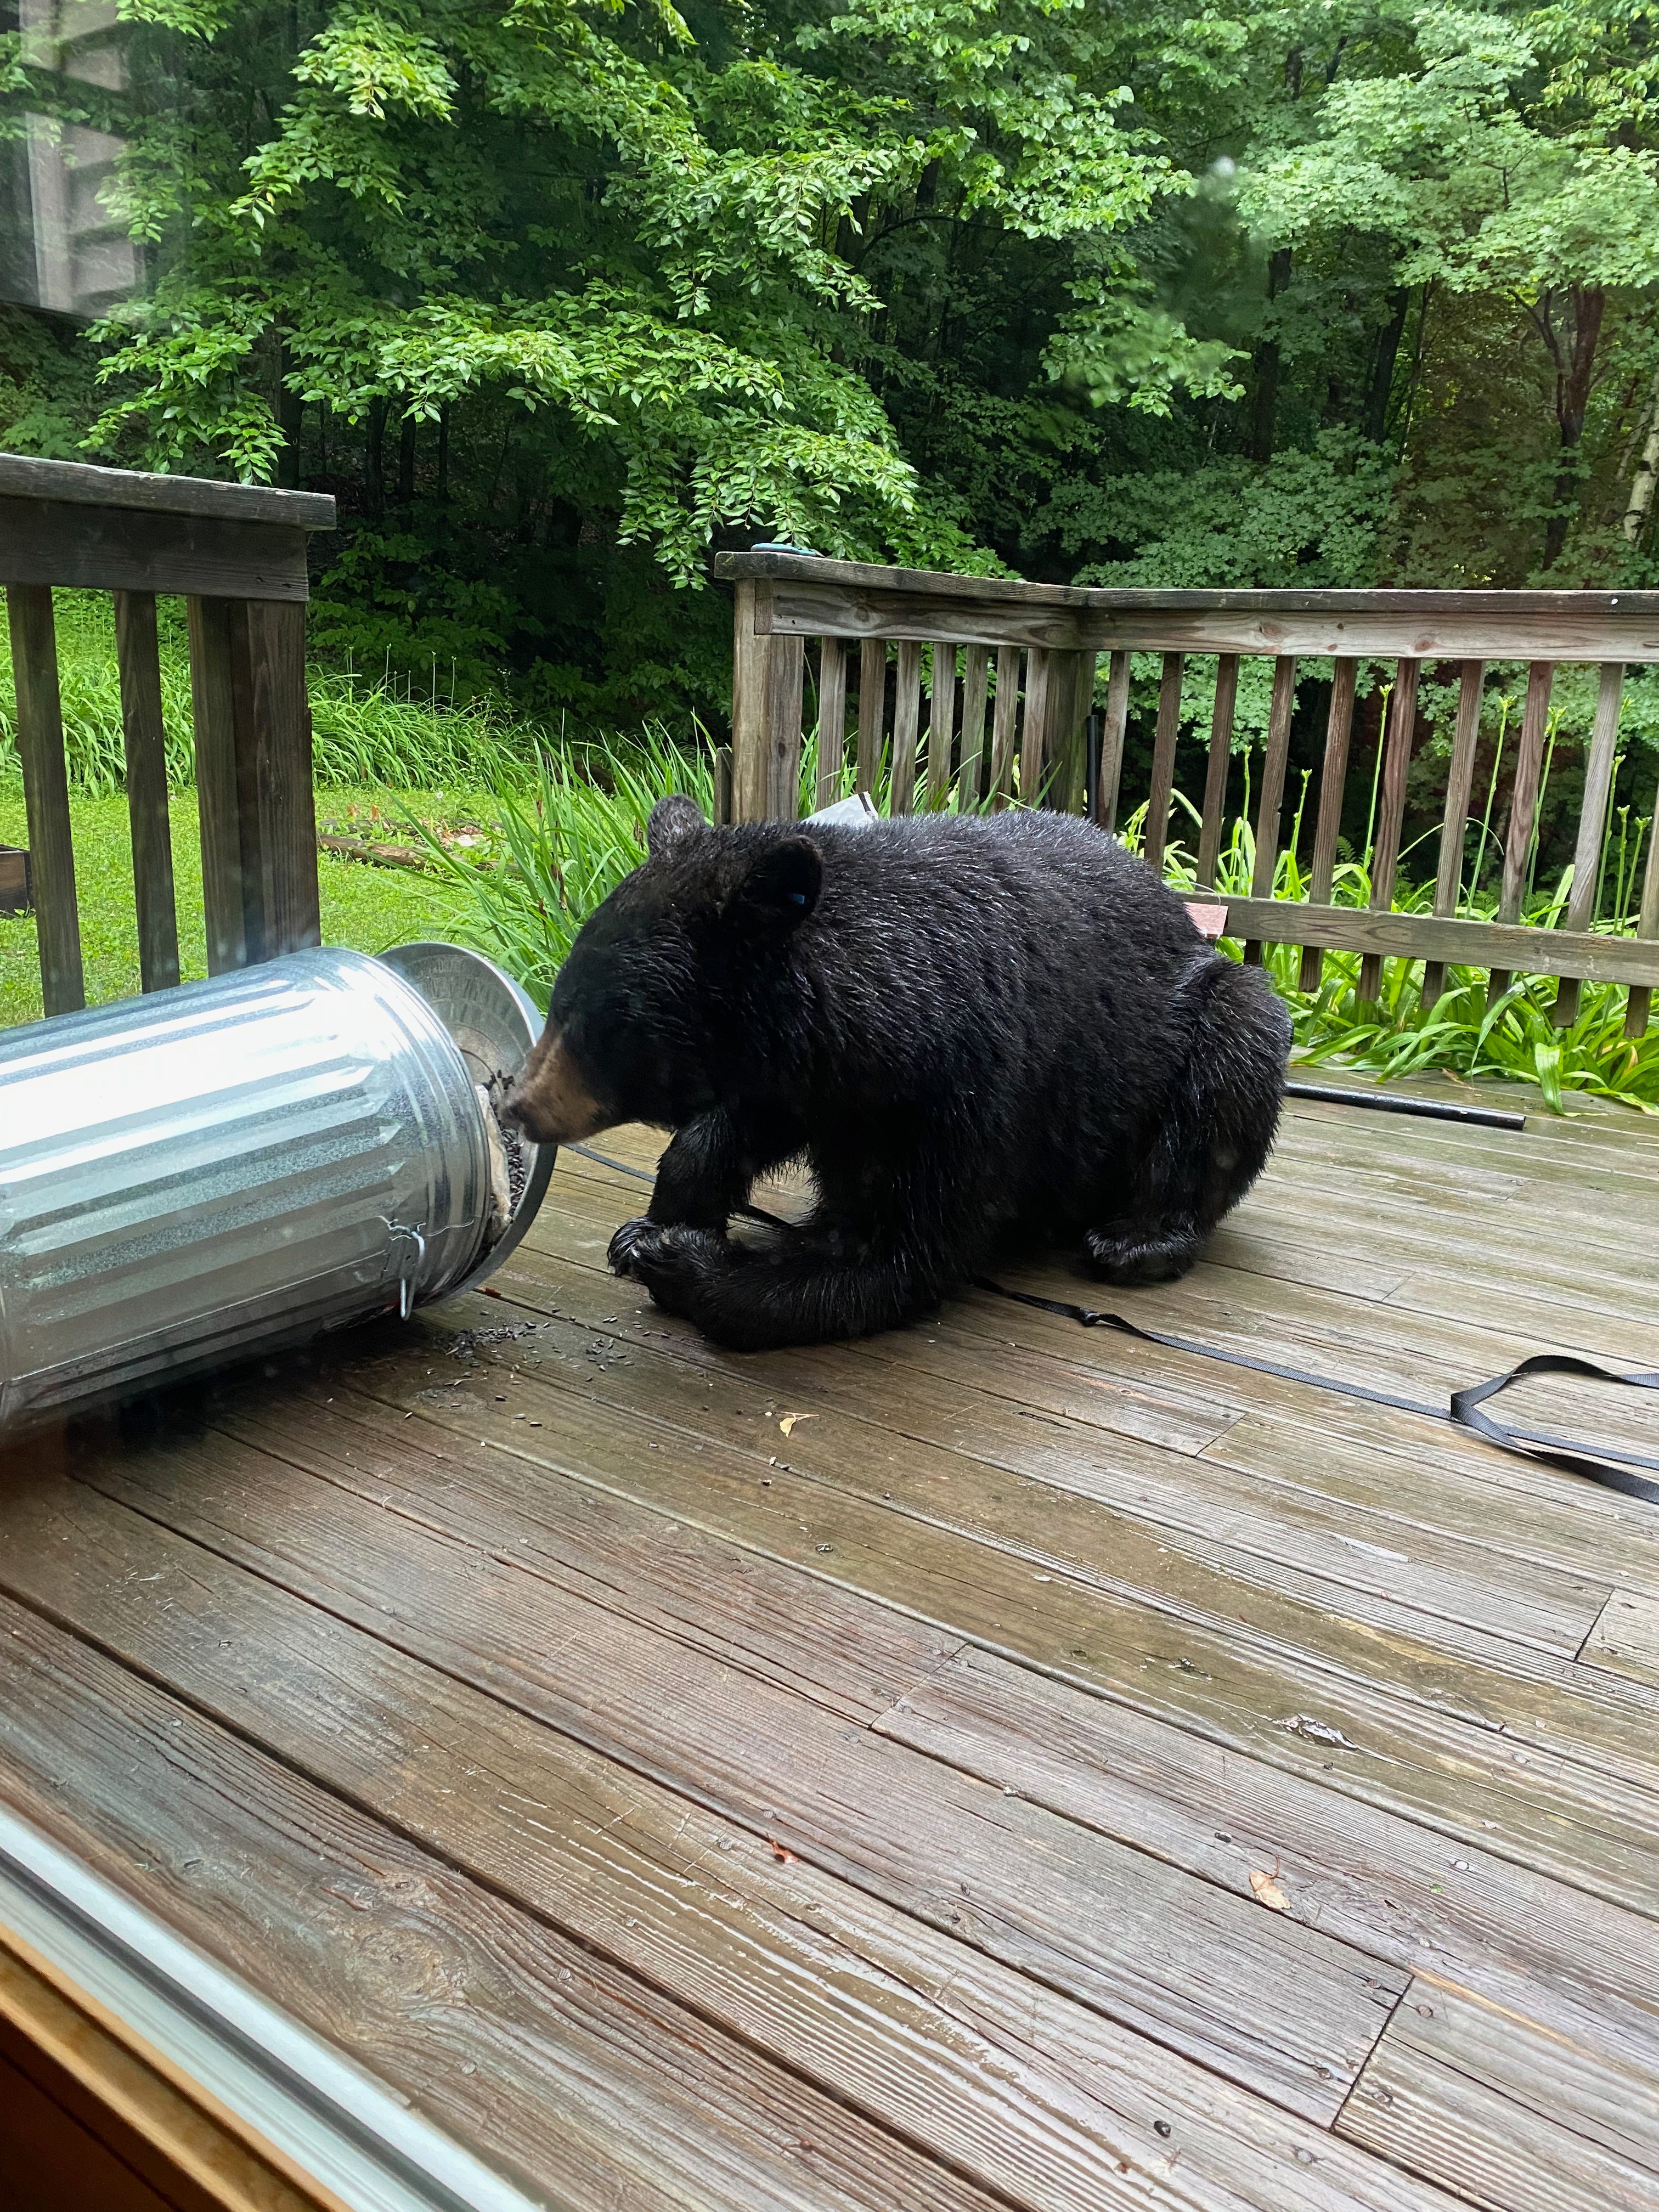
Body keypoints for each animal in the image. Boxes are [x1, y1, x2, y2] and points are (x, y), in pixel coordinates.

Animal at [501, 797, 1290, 1352]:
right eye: (562, 994)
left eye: (603, 1024)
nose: (518, 1106)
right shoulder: (812, 1075)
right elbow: (741, 1124)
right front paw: (654, 1222)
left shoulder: (971, 1089)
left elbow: (904, 1254)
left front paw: (689, 1262)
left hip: (1214, 1018)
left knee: (1227, 1074)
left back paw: (1137, 1240)